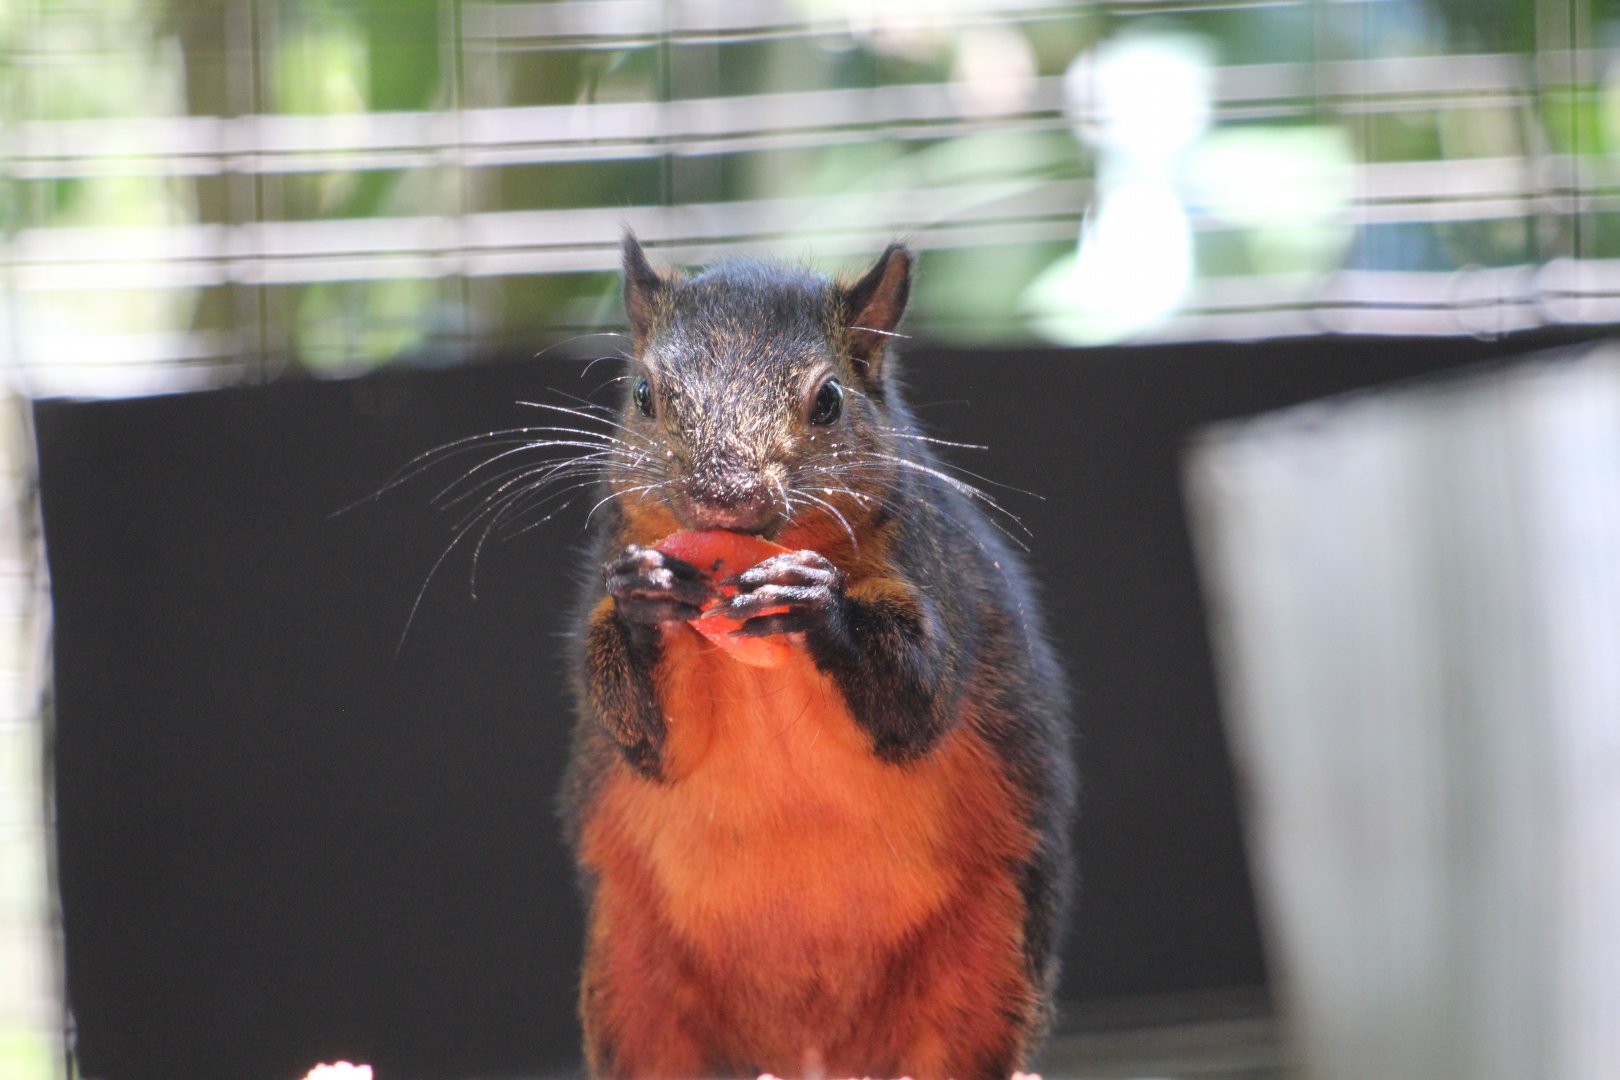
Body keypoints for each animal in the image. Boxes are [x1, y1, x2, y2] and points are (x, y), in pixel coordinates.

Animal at [561, 234, 1076, 1080]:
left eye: (830, 399)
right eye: (642, 394)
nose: (724, 497)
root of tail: (809, 1053)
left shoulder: (930, 571)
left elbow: (914, 700)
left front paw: (814, 600)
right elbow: (651, 738)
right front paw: (644, 597)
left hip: (990, 960)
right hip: (626, 972)